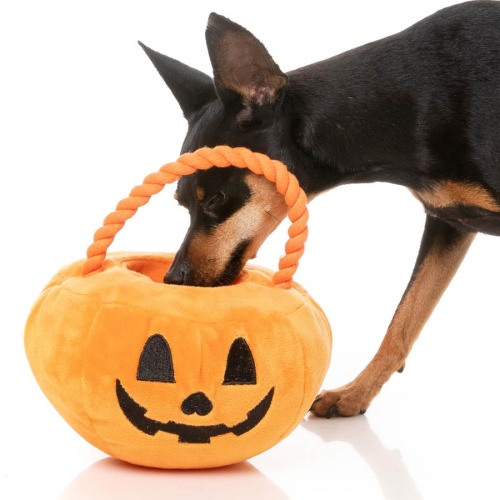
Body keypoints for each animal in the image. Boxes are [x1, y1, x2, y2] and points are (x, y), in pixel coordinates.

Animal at [139, 0, 500, 418]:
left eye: (214, 200)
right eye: (182, 204)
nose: (173, 278)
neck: (410, 105)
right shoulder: (449, 220)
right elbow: (405, 318)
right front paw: (355, 394)